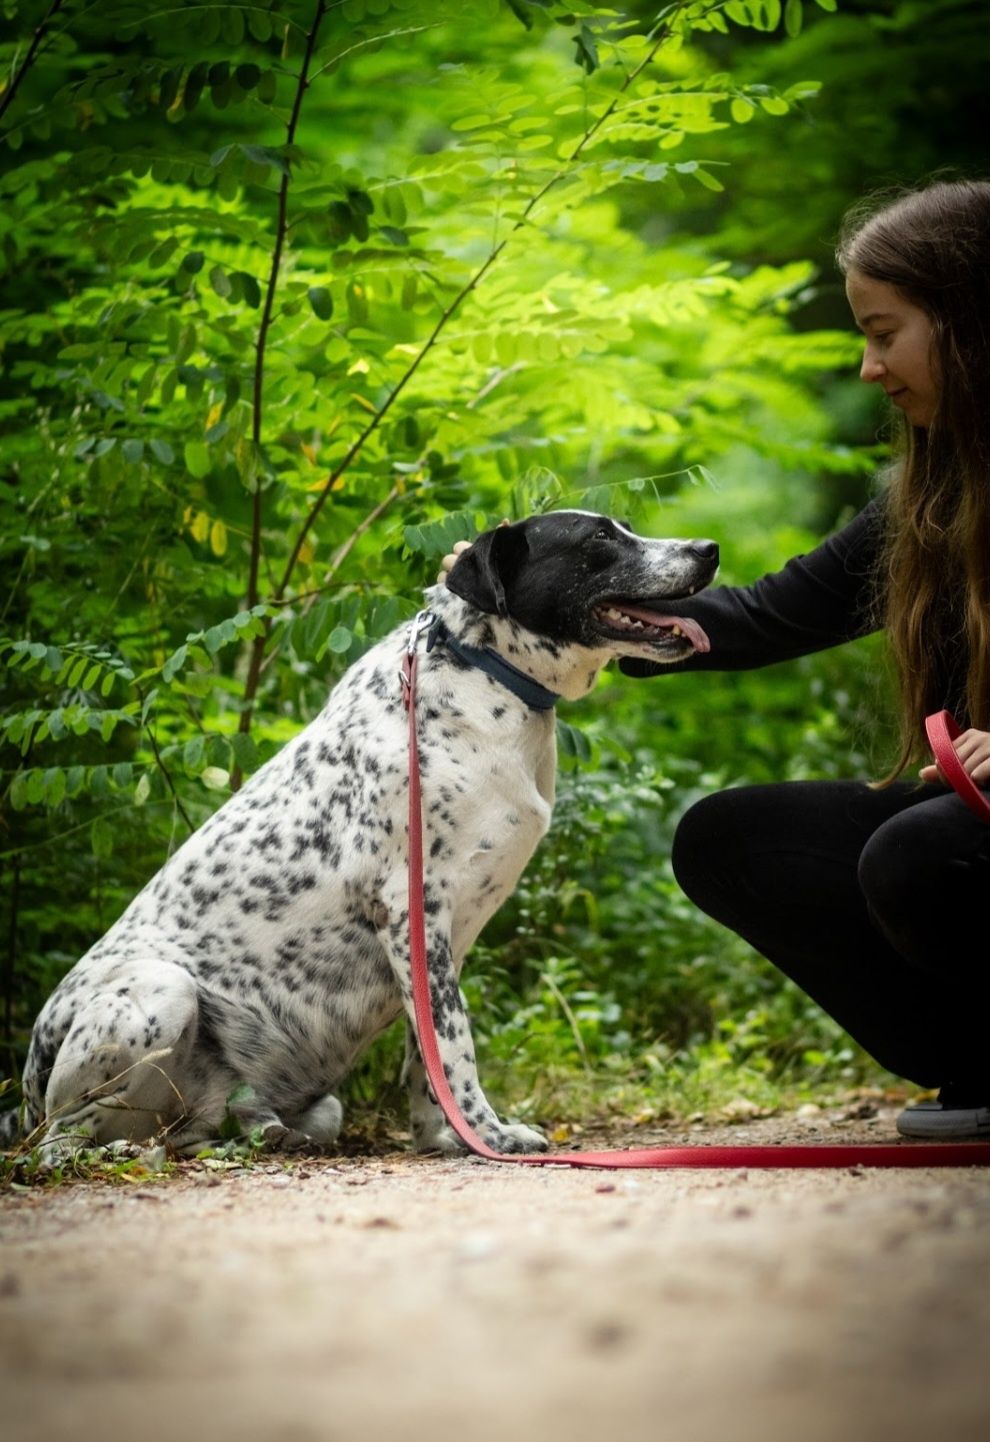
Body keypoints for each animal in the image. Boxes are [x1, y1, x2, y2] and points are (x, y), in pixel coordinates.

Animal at [9, 510, 720, 1159]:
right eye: (599, 537)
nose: (708, 549)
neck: (484, 671)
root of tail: (23, 1099)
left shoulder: (440, 941)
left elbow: (428, 1059)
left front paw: (447, 1139)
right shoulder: (415, 910)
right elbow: (456, 1049)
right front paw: (489, 1137)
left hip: (303, 1104)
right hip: (160, 991)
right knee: (61, 1142)